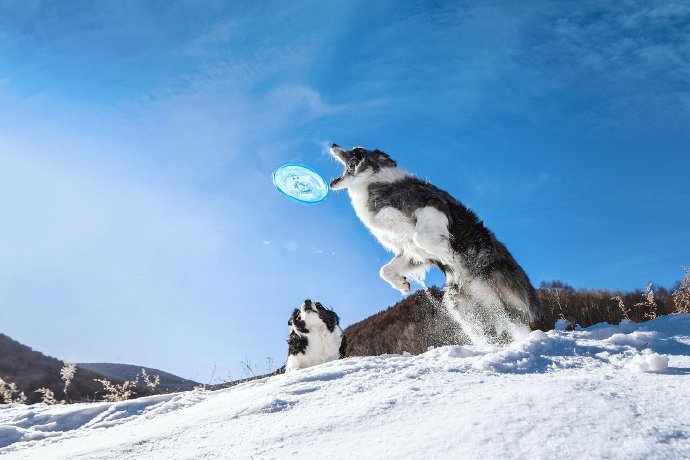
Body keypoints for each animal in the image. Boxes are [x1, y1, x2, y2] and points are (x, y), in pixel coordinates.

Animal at [328, 146, 544, 344]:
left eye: (356, 152)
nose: (333, 145)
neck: (374, 183)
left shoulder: (430, 204)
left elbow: (422, 238)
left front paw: (449, 254)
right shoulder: (411, 252)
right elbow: (385, 269)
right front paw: (403, 285)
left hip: (503, 292)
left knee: (519, 321)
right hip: (464, 310)